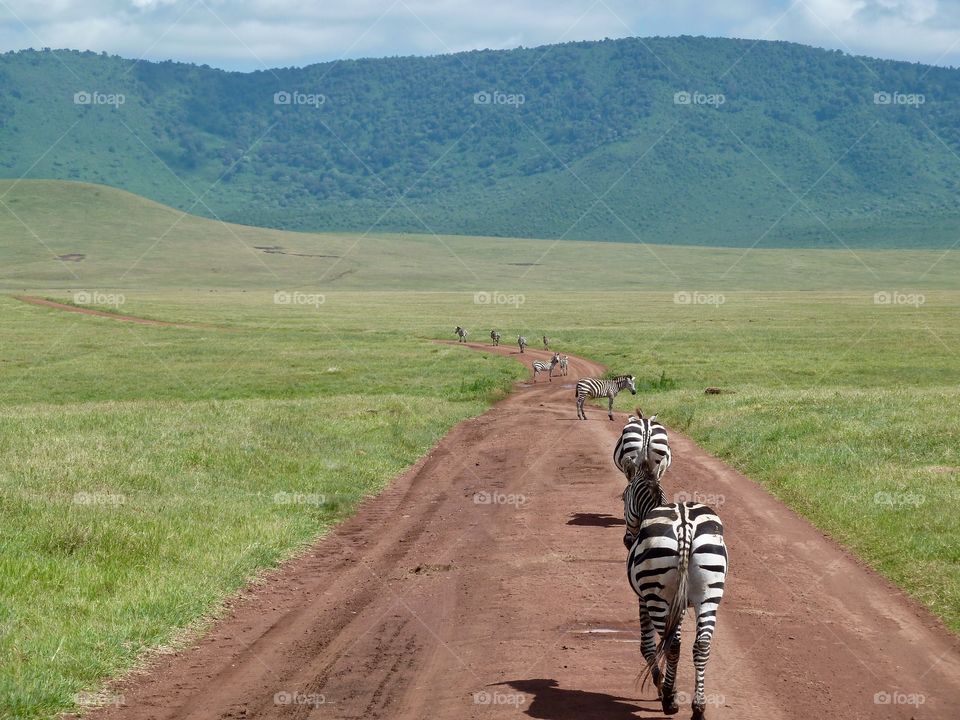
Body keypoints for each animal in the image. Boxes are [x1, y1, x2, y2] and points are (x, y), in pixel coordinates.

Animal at [621, 442, 727, 720]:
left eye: (623, 497)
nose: (627, 540)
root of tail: (684, 526)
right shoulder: (680, 602)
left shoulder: (643, 599)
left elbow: (647, 646)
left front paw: (662, 687)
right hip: (709, 593)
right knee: (701, 645)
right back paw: (698, 707)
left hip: (656, 596)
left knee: (672, 646)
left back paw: (670, 700)